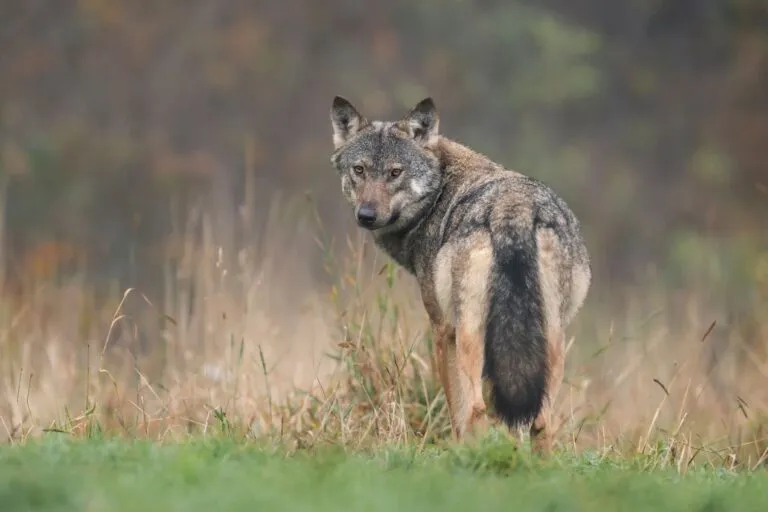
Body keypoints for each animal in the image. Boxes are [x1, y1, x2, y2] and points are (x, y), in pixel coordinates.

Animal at [328, 96, 591, 454]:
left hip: (470, 332)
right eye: (360, 170)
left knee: (477, 408)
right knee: (541, 420)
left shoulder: (443, 330)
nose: (366, 215)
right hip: (551, 336)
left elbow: (458, 409)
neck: (439, 192)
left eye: (395, 172)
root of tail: (514, 208)